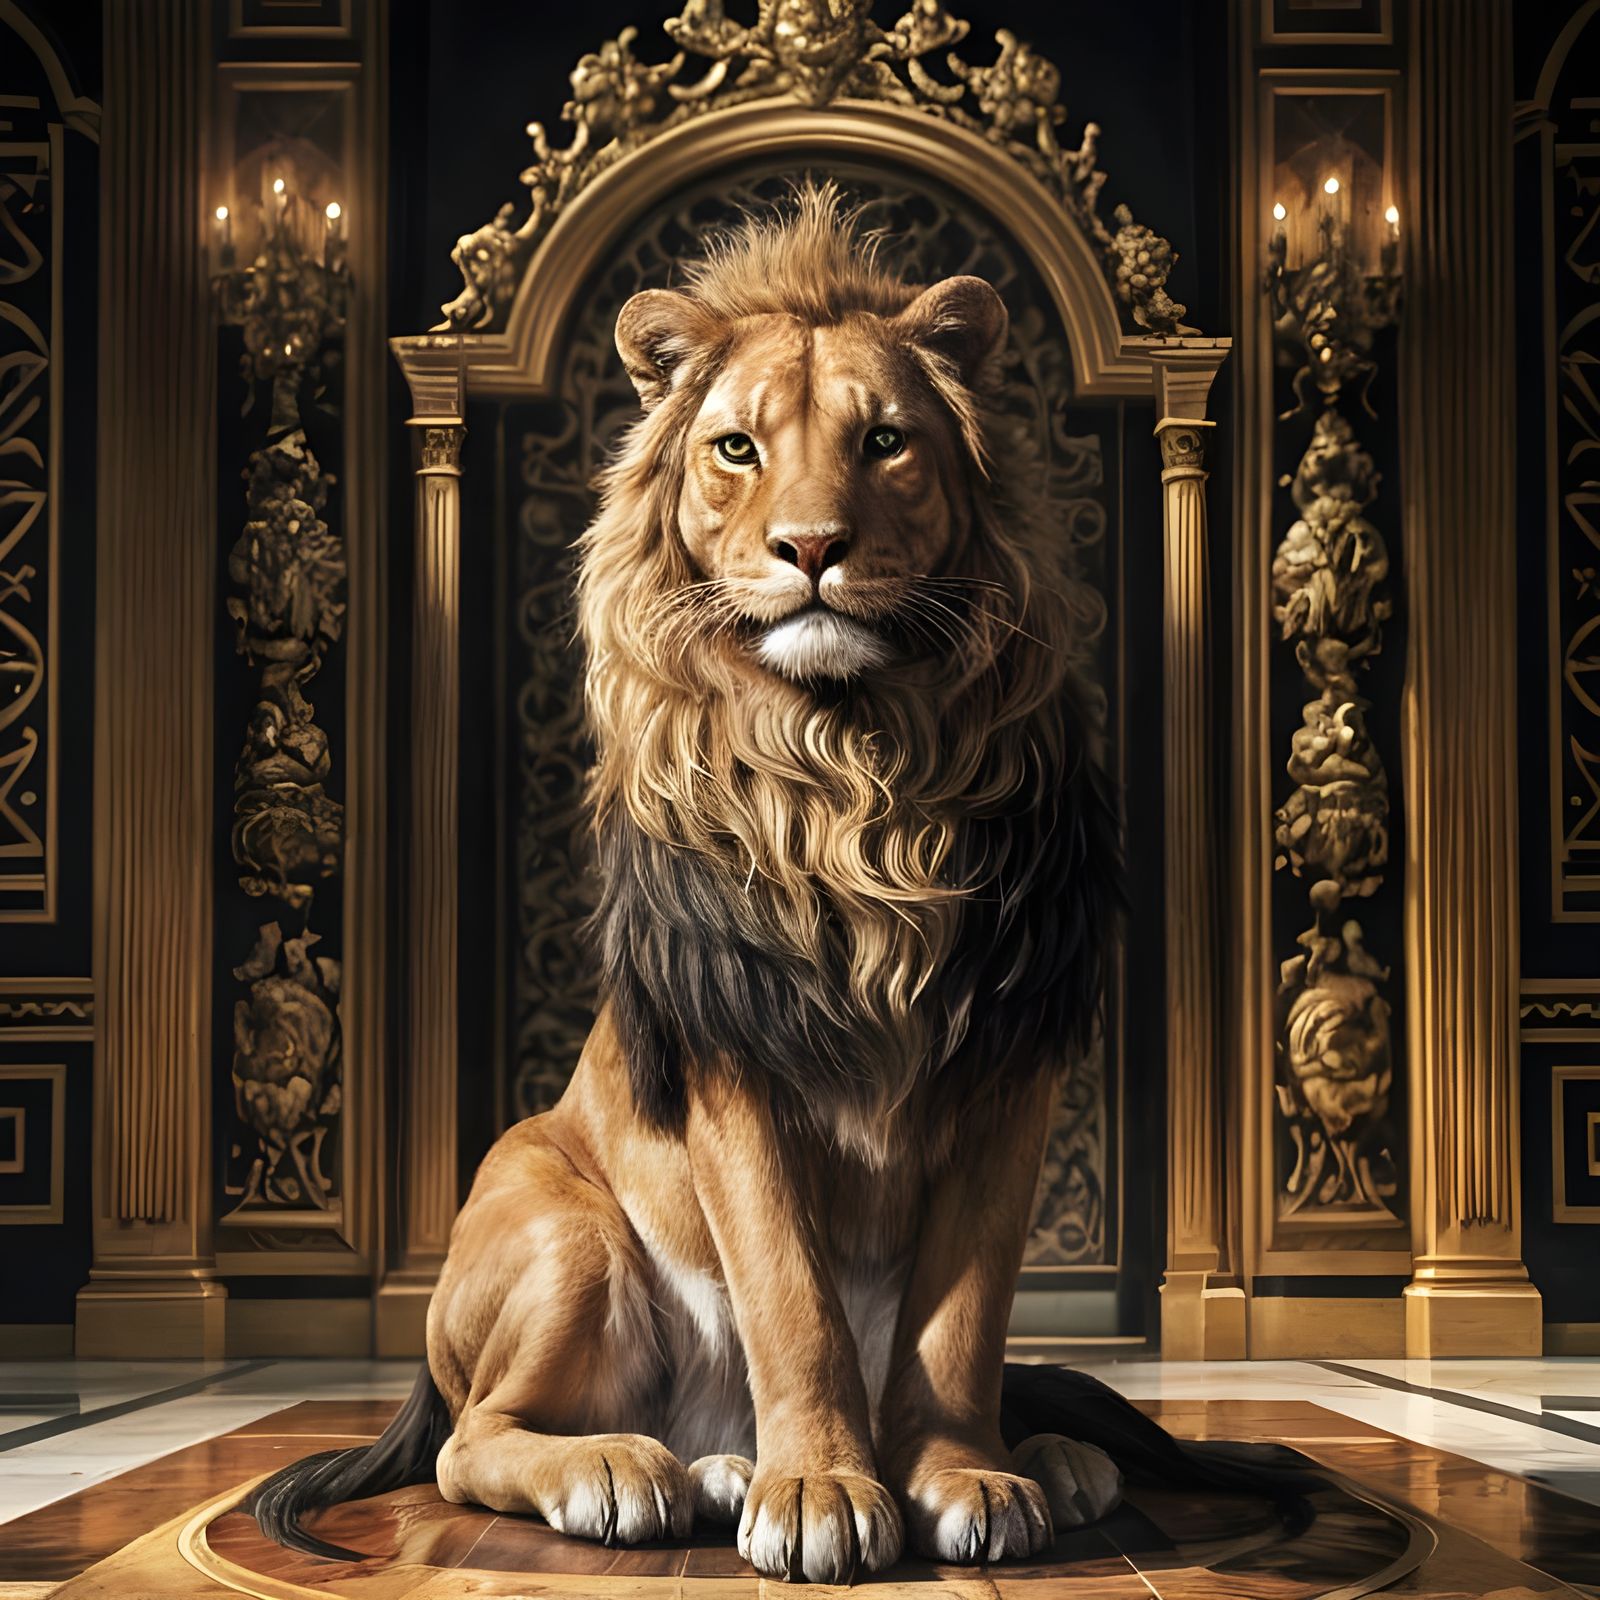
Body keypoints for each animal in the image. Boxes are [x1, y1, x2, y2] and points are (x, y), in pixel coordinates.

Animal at [253, 184, 1138, 1582]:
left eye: (885, 440)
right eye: (735, 448)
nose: (812, 545)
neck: (855, 777)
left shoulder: (1012, 1059)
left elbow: (962, 1314)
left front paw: (966, 1474)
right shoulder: (734, 1061)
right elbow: (790, 1296)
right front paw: (821, 1491)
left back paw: (973, 1457)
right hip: (565, 1225)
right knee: (473, 1439)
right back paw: (633, 1472)